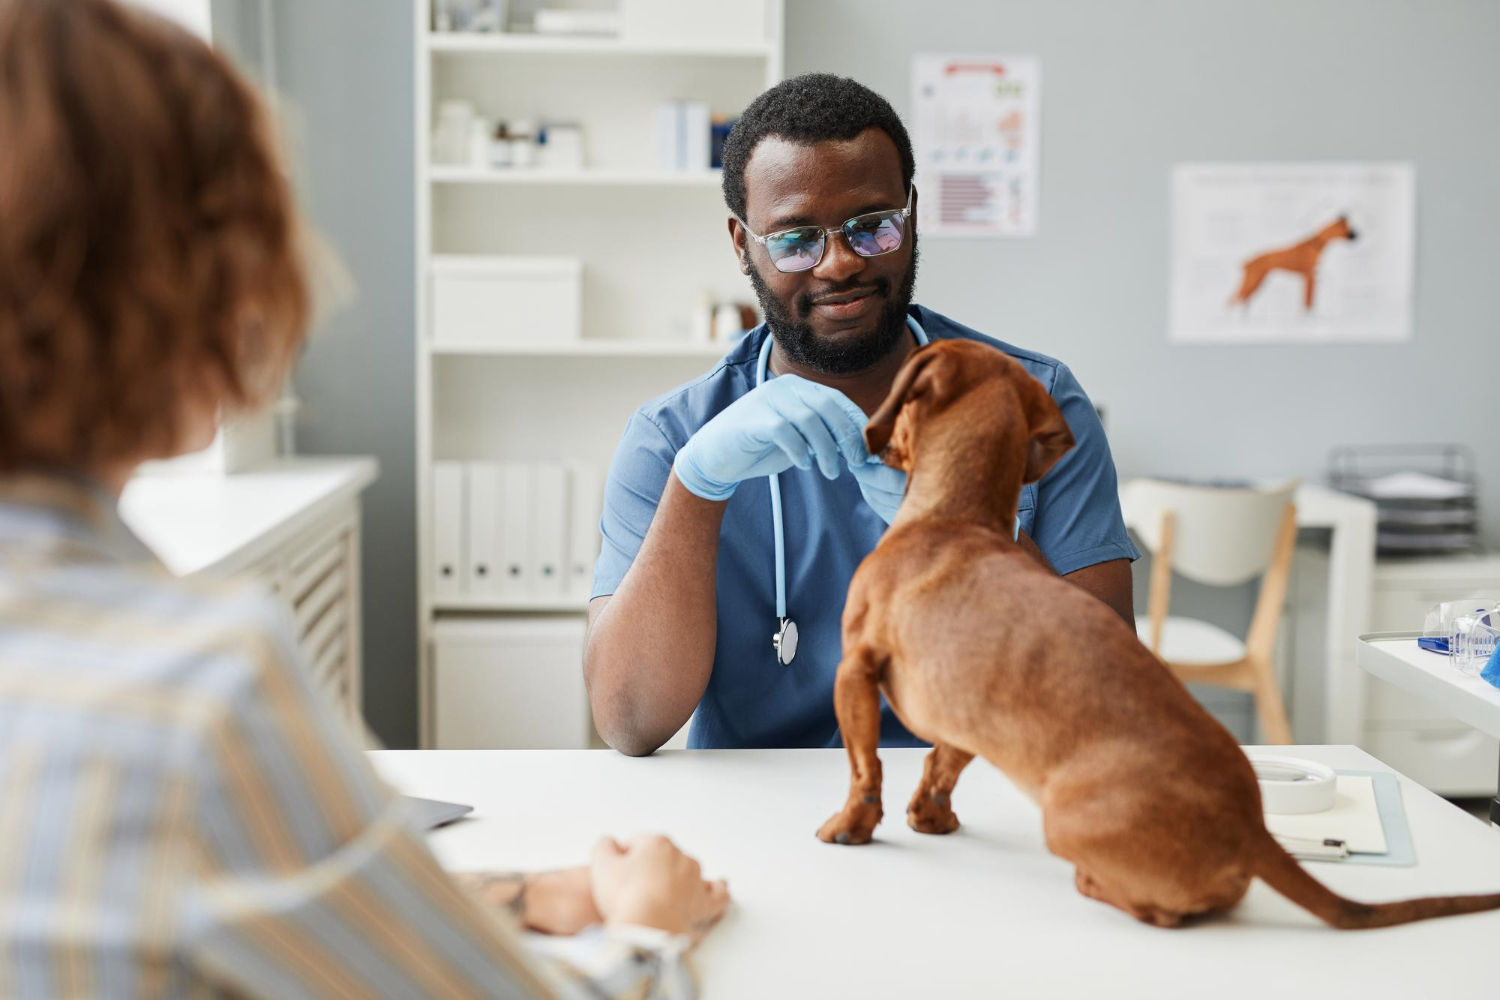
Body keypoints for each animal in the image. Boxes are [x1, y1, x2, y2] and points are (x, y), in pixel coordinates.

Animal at [822, 341, 1500, 929]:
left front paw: (851, 826)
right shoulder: (963, 721)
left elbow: (864, 768)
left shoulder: (854, 669)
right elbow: (938, 766)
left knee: (1162, 912)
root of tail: (1253, 832)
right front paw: (929, 817)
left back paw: (1096, 884)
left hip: (1062, 821)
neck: (956, 518)